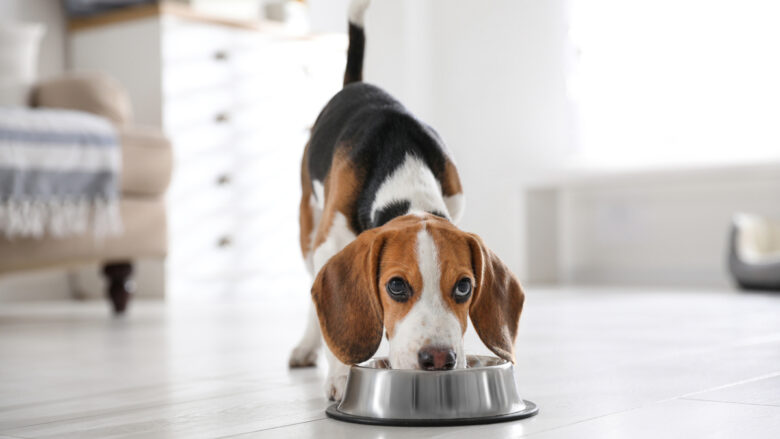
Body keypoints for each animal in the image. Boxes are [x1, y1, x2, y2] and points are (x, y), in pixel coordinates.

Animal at [286, 0, 524, 402]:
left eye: (464, 287)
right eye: (396, 286)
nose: (439, 359)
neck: (404, 170)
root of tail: (356, 83)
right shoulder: (329, 243)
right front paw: (341, 377)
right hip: (308, 230)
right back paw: (306, 346)